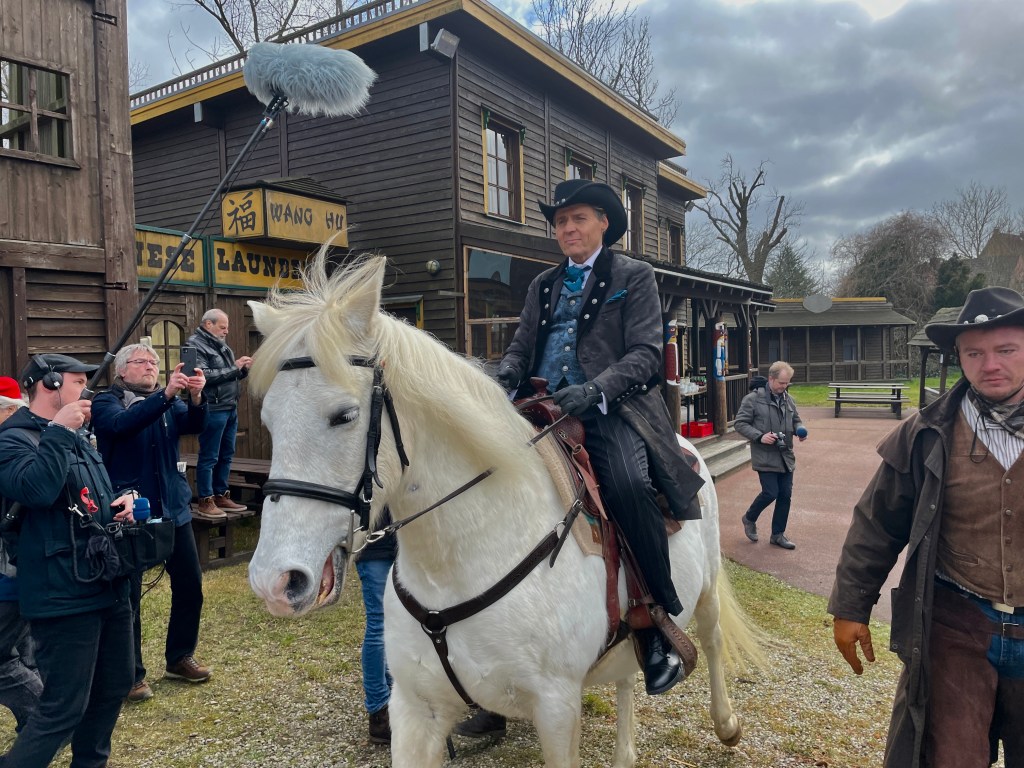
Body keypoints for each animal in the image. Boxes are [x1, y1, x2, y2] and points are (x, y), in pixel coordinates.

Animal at [245, 253, 761, 768]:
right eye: (267, 419)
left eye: (345, 415)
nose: (276, 581)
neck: (460, 560)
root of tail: (681, 443)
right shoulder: (414, 708)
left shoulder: (556, 710)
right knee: (626, 676)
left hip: (706, 586)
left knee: (712, 637)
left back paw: (727, 722)